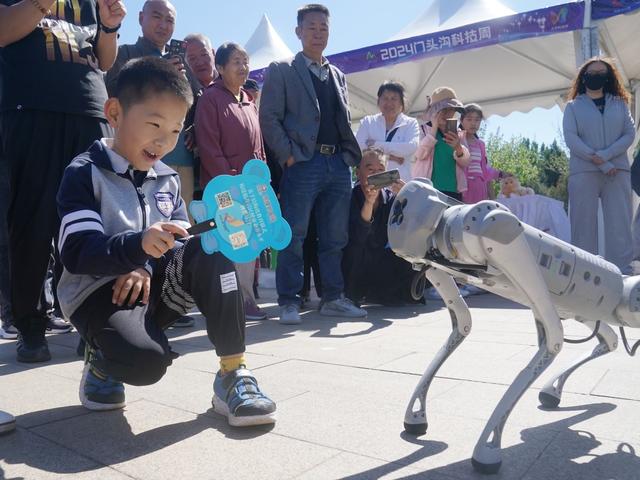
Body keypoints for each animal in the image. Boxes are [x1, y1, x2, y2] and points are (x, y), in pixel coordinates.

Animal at [388, 178, 636, 474]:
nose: (399, 207)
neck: (448, 220)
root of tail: (620, 283)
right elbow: (463, 323)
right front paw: (416, 417)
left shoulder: (504, 238)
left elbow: (554, 341)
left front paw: (487, 452)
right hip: (576, 312)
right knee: (609, 338)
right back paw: (552, 391)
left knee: (608, 337)